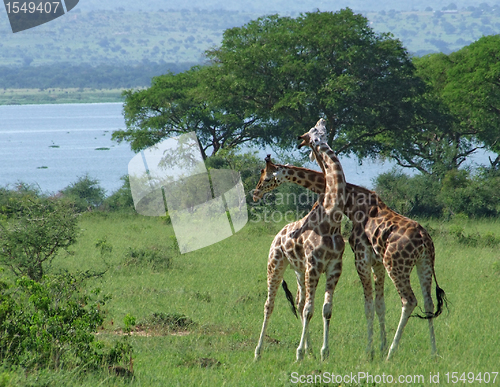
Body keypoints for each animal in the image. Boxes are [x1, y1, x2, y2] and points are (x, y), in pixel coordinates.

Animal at [252, 155, 448, 360]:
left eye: (267, 177)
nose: (255, 193)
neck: (353, 203)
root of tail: (425, 240)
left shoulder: (361, 258)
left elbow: (368, 307)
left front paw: (371, 351)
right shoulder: (376, 263)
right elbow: (379, 305)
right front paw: (380, 347)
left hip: (397, 266)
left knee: (409, 301)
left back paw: (391, 354)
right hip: (424, 264)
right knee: (428, 303)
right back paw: (433, 352)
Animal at [256, 119, 346, 364]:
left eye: (323, 133)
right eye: (312, 136)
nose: (255, 193)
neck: (331, 219)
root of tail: (277, 235)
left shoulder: (334, 267)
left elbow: (326, 309)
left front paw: (324, 353)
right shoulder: (314, 266)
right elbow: (309, 310)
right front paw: (298, 353)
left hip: (298, 271)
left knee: (299, 301)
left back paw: (310, 350)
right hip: (275, 264)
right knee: (270, 304)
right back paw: (258, 352)